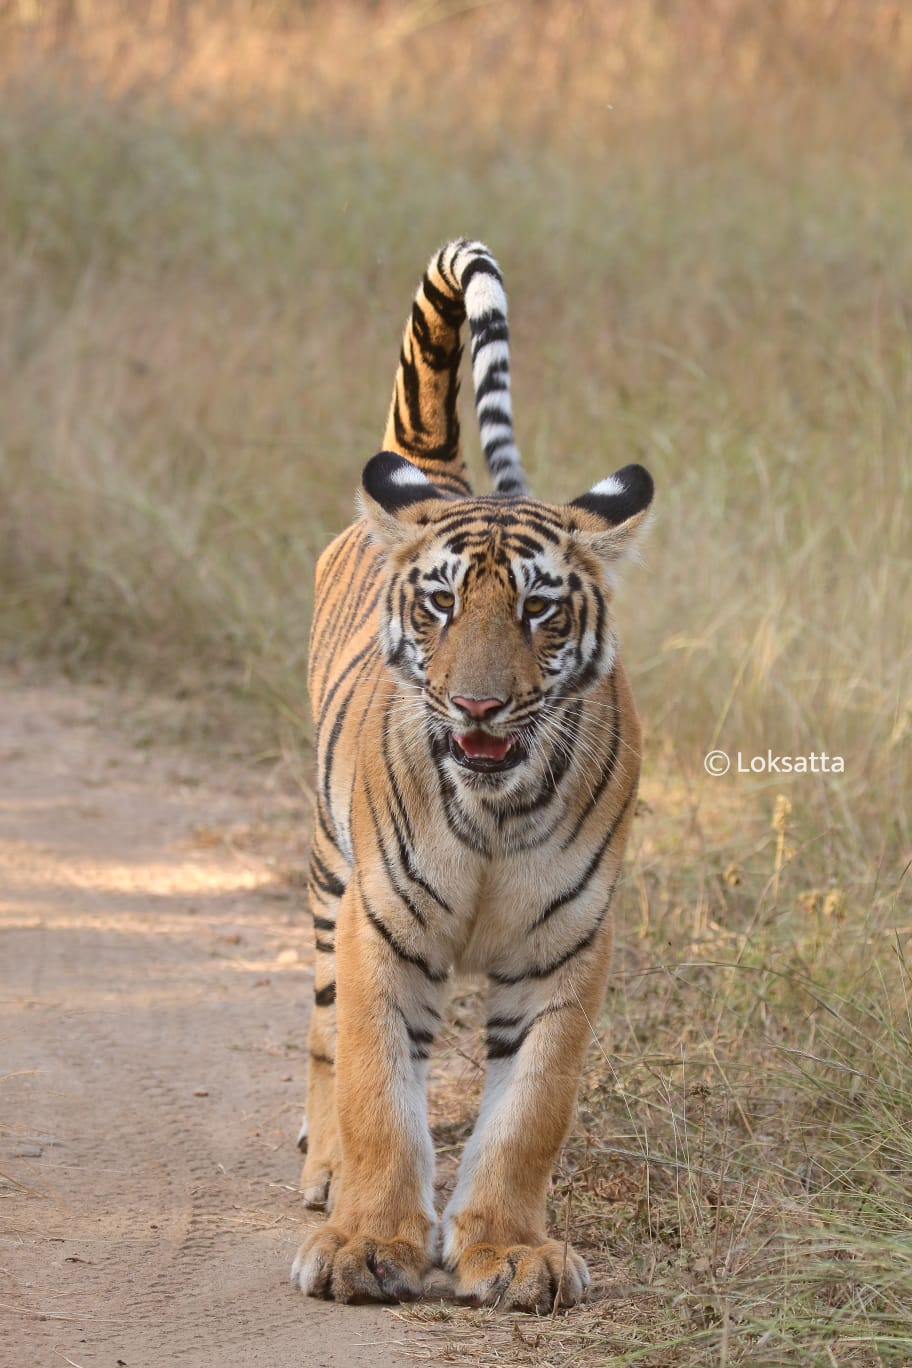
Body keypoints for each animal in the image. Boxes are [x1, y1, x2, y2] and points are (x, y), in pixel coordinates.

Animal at [288, 240, 653, 1307]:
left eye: (539, 610)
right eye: (442, 603)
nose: (480, 707)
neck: (496, 810)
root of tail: (441, 475)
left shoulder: (569, 944)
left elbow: (531, 1111)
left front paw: (509, 1251)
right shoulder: (379, 925)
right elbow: (376, 1088)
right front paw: (368, 1243)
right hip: (326, 872)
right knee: (323, 1032)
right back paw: (325, 1174)